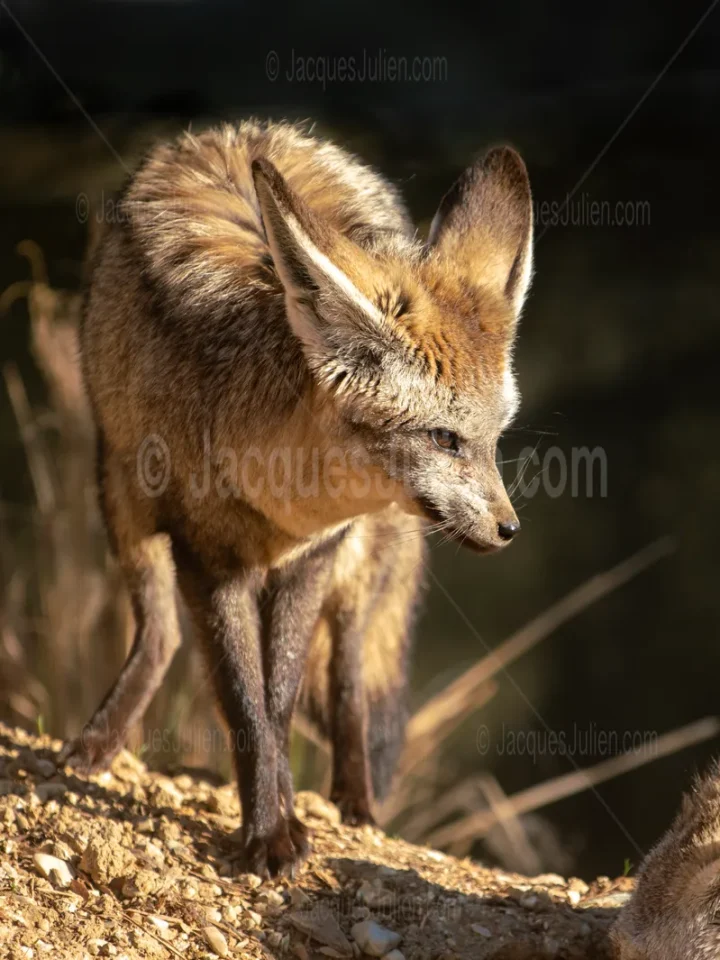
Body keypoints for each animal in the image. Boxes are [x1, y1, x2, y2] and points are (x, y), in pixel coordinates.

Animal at [62, 120, 534, 877]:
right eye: (444, 438)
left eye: (494, 440)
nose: (509, 528)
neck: (282, 502)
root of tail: (241, 129)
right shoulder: (208, 559)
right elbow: (243, 704)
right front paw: (269, 831)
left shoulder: (315, 557)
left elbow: (279, 702)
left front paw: (282, 813)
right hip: (119, 496)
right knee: (159, 631)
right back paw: (100, 739)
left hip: (360, 569)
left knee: (348, 680)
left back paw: (356, 802)